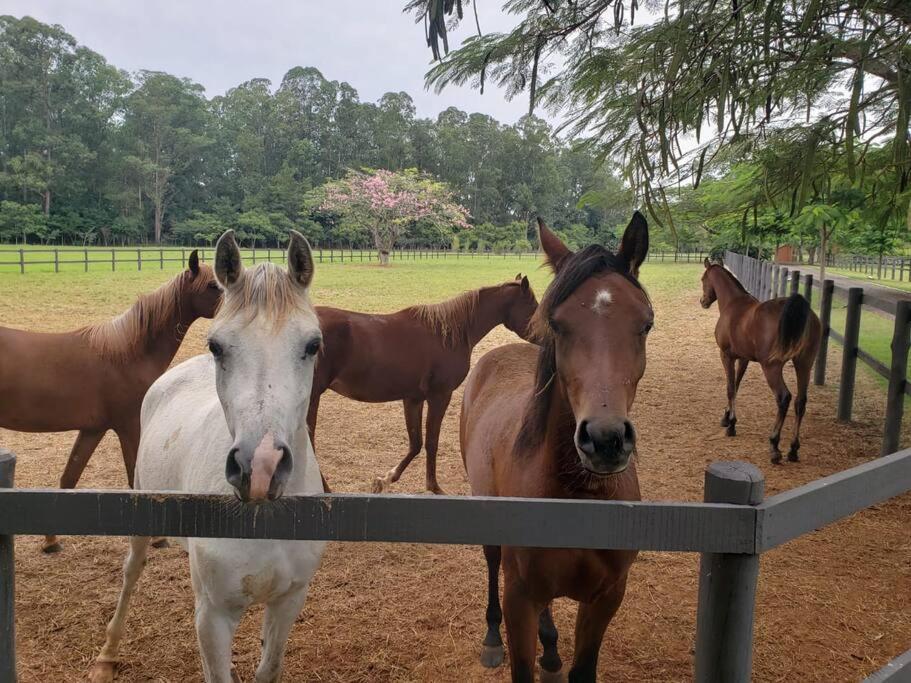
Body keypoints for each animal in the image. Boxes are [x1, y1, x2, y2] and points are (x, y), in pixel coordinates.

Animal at [0, 251, 220, 552]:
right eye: (212, 285)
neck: (127, 353)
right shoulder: (129, 427)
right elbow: (135, 479)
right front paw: (157, 537)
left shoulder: (93, 429)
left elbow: (68, 478)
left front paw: (51, 540)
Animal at [91, 231, 328, 683]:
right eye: (217, 346)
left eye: (313, 345)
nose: (260, 467)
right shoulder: (213, 616)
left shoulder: (289, 601)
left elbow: (268, 667)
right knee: (131, 572)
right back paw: (107, 654)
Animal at [310, 276, 536, 494]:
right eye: (533, 305)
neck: (448, 335)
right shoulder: (440, 396)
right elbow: (431, 442)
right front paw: (434, 487)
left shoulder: (413, 398)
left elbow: (416, 443)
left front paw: (385, 479)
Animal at [460, 215, 652, 683]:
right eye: (559, 323)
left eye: (645, 324)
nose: (605, 439)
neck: (579, 498)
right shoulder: (519, 598)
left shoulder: (606, 598)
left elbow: (583, 669)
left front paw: (553, 654)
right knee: (491, 563)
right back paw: (492, 640)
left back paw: (550, 651)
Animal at [700, 260, 824, 464]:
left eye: (703, 279)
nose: (703, 301)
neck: (733, 305)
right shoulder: (743, 359)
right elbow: (736, 385)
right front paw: (727, 417)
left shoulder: (726, 356)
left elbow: (730, 388)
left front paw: (731, 425)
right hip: (804, 363)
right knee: (800, 401)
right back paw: (793, 449)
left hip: (772, 367)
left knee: (783, 398)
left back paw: (774, 446)